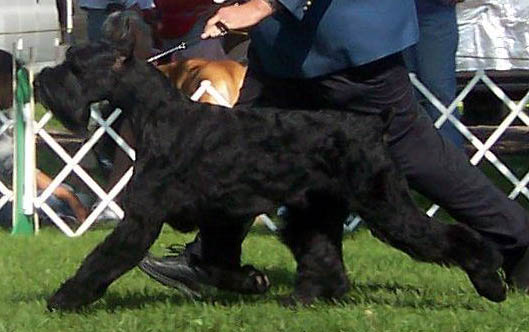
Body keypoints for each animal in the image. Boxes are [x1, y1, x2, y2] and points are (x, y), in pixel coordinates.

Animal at [35, 41, 506, 312]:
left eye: (75, 65)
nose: (40, 81)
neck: (159, 115)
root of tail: (375, 125)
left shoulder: (143, 219)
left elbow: (103, 259)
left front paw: (64, 298)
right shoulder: (220, 216)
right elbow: (215, 262)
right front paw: (251, 281)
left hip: (386, 206)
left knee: (452, 237)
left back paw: (492, 283)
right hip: (315, 210)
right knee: (322, 255)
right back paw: (303, 299)